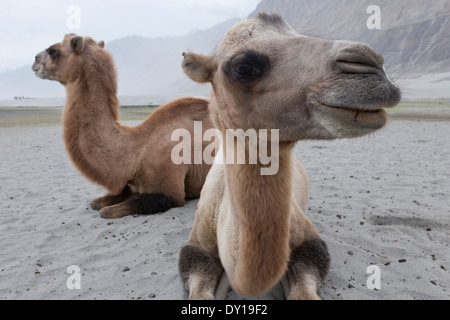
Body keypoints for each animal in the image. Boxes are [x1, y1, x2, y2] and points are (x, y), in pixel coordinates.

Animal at [32, 35, 214, 220]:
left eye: (52, 50)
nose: (35, 60)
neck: (135, 152)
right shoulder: (131, 185)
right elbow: (95, 203)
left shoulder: (171, 192)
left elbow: (106, 211)